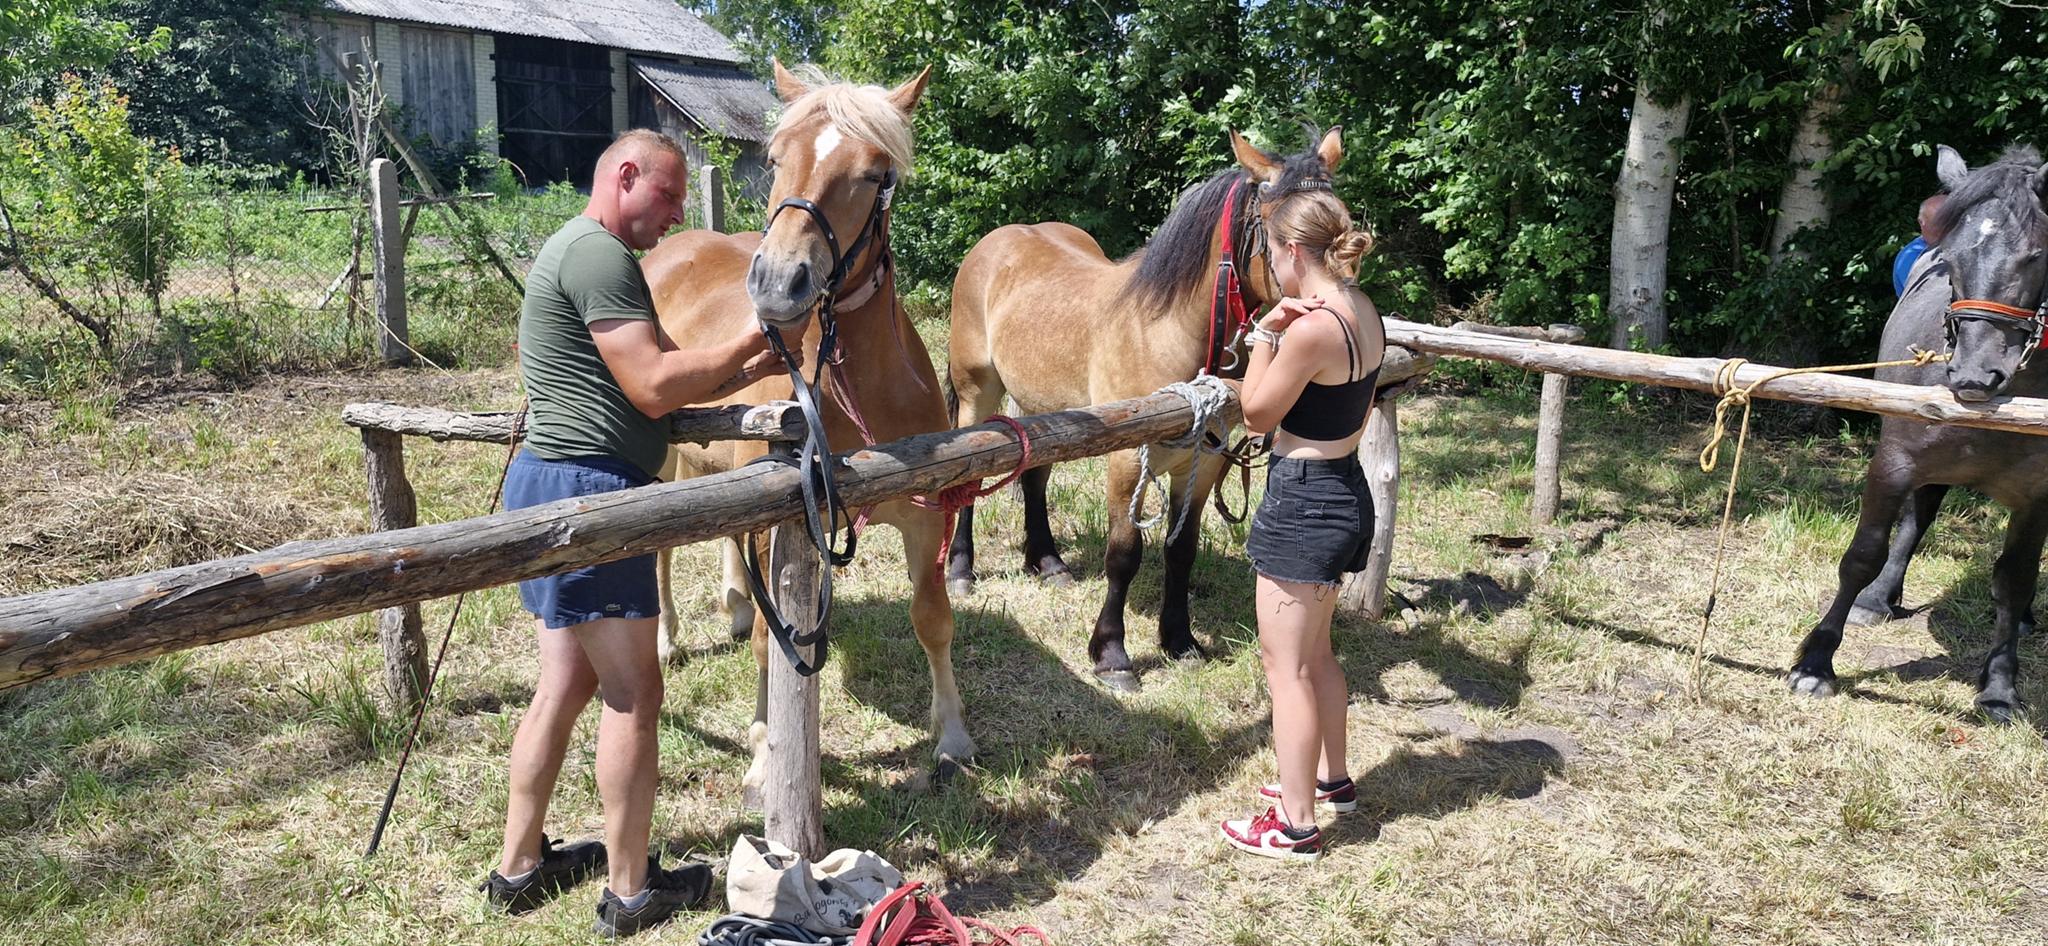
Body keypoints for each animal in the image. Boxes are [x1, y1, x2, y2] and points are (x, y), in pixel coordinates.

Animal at [640, 62, 975, 784]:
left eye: (877, 173)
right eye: (774, 159)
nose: (776, 283)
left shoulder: (923, 514)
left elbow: (933, 619)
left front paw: (954, 735)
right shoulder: (783, 522)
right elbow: (776, 644)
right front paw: (766, 755)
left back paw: (735, 603)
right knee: (660, 549)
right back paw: (667, 639)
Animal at [944, 127, 1343, 690]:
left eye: (1347, 227)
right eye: (1292, 237)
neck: (1168, 328)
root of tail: (994, 243)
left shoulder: (1203, 463)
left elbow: (1181, 551)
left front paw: (1180, 641)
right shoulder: (1128, 462)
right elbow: (1124, 555)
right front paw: (1113, 655)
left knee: (1035, 478)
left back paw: (1049, 563)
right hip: (977, 395)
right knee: (970, 480)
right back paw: (961, 572)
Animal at [1788, 144, 2048, 722]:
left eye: (2037, 255)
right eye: (1949, 259)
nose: (1975, 376)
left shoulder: (2037, 496)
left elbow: (2014, 578)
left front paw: (1999, 688)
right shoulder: (1895, 464)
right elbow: (1863, 555)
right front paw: (1816, 664)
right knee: (1918, 520)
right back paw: (1879, 599)